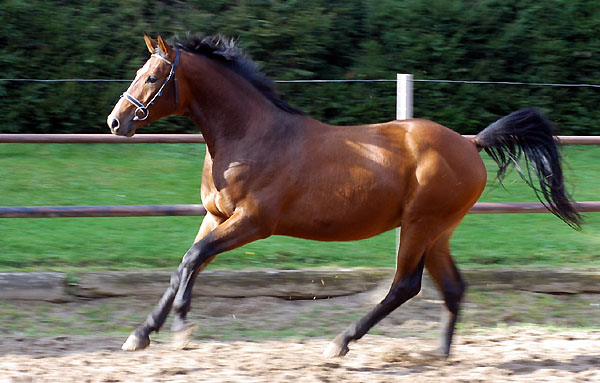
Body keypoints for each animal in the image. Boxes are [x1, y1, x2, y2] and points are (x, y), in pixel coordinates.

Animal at [105, 33, 580, 360]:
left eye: (152, 76)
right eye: (138, 73)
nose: (115, 121)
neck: (250, 136)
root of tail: (471, 143)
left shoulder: (254, 223)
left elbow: (192, 260)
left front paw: (182, 328)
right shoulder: (215, 217)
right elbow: (182, 267)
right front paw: (140, 335)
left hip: (420, 225)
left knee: (405, 285)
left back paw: (340, 342)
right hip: (438, 232)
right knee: (452, 288)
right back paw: (440, 355)